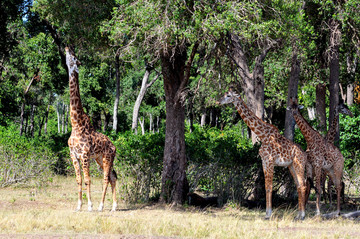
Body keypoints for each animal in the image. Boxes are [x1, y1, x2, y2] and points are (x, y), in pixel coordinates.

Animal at [65, 46, 117, 211]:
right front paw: (78, 206)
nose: (67, 47)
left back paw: (101, 206)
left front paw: (89, 206)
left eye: (74, 57)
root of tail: (114, 147)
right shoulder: (73, 155)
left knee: (106, 178)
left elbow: (88, 179)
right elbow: (79, 180)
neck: (76, 124)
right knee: (113, 176)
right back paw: (114, 206)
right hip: (100, 159)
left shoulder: (85, 154)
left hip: (107, 158)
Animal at [217, 87, 306, 219]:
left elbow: (269, 187)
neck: (263, 135)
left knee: (303, 184)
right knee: (299, 185)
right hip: (291, 166)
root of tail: (305, 155)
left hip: (298, 165)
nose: (218, 101)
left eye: (228, 95)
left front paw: (268, 214)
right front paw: (267, 213)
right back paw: (298, 215)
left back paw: (303, 215)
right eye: (224, 94)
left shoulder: (269, 161)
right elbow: (265, 187)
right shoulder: (264, 162)